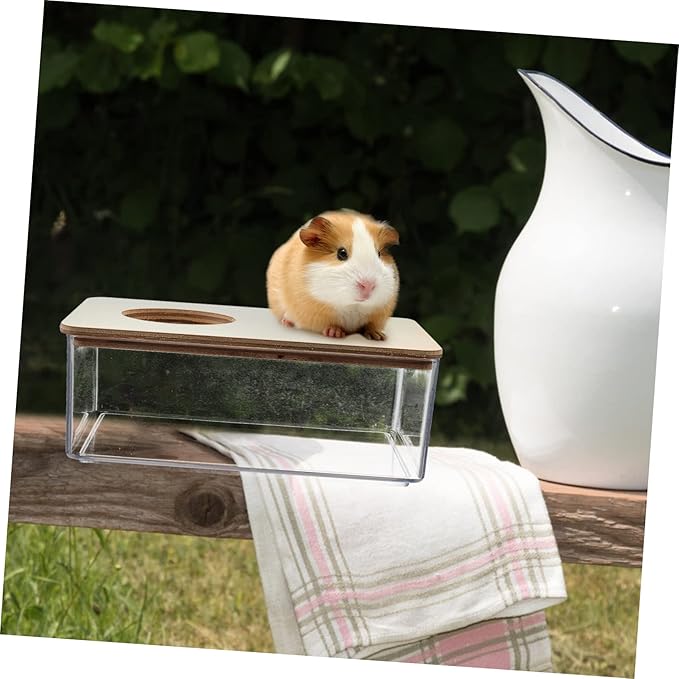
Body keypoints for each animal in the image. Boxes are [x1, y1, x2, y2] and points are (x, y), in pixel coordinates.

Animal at [266, 210, 400, 340]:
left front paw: (379, 336)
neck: (353, 306)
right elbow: (330, 325)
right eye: (342, 253)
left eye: (379, 254)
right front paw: (335, 333)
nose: (368, 285)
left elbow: (371, 325)